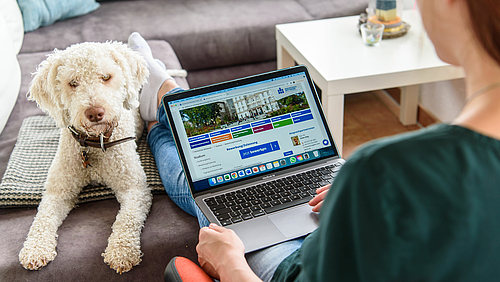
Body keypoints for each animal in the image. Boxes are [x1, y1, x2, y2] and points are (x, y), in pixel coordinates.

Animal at [19, 41, 152, 274]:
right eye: (73, 83)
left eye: (106, 77)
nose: (95, 112)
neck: (94, 144)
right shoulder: (58, 192)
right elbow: (42, 219)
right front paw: (35, 249)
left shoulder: (135, 189)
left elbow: (126, 219)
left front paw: (121, 252)